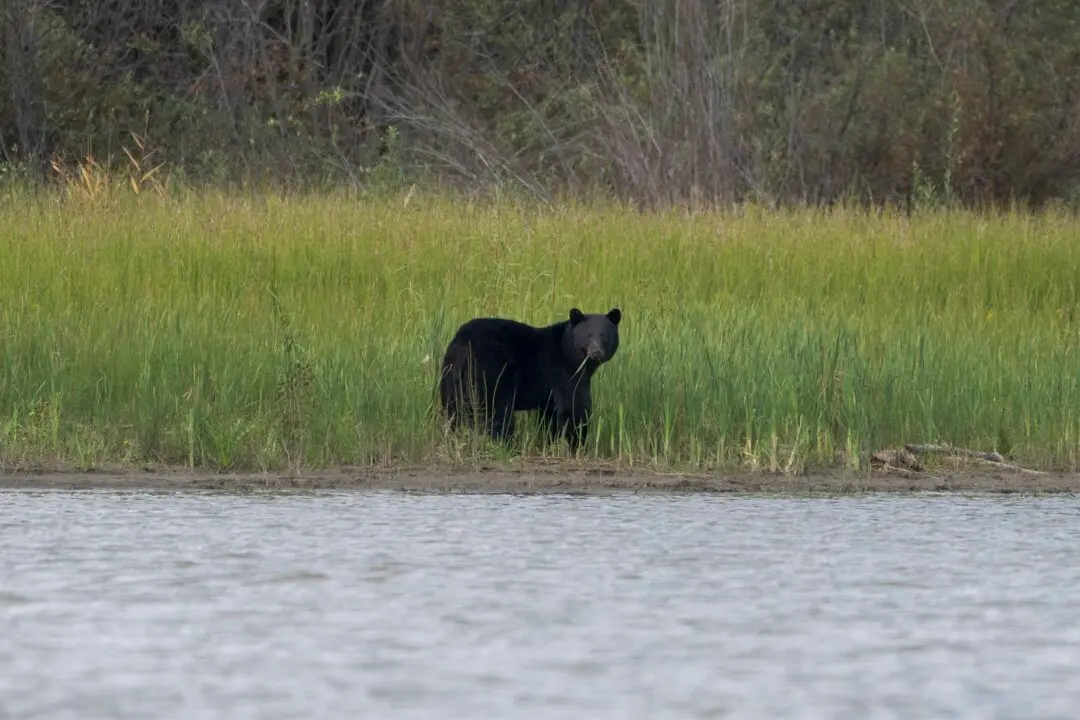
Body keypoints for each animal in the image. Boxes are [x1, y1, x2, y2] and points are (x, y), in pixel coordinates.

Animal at [439, 307, 622, 452]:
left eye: (604, 335)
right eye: (587, 335)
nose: (596, 353)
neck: (567, 350)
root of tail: (462, 344)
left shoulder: (550, 392)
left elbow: (550, 416)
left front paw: (550, 444)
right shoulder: (564, 372)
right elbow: (574, 407)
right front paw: (578, 446)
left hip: (451, 377)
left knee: (453, 411)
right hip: (490, 375)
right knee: (497, 413)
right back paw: (507, 446)